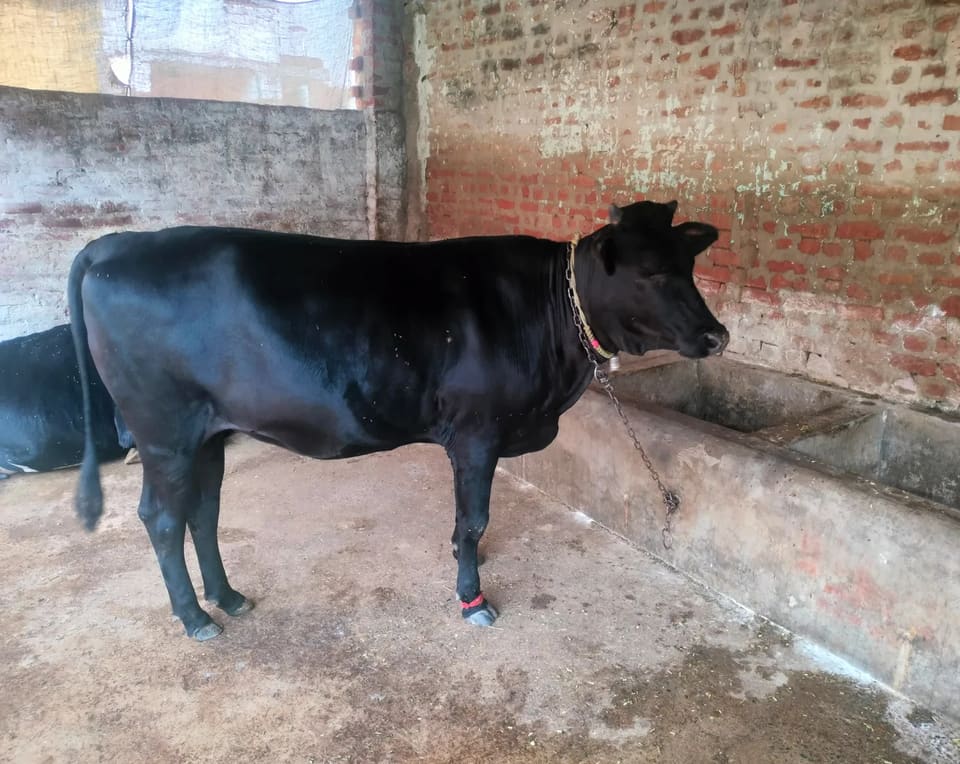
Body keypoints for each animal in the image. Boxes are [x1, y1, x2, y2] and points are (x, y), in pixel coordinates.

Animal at [68, 200, 728, 641]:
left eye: (688, 265)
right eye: (651, 272)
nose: (717, 335)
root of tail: (117, 243)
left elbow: (464, 521)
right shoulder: (476, 432)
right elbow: (475, 520)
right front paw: (472, 598)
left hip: (209, 433)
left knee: (202, 513)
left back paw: (227, 598)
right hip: (164, 432)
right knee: (161, 519)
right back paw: (193, 617)